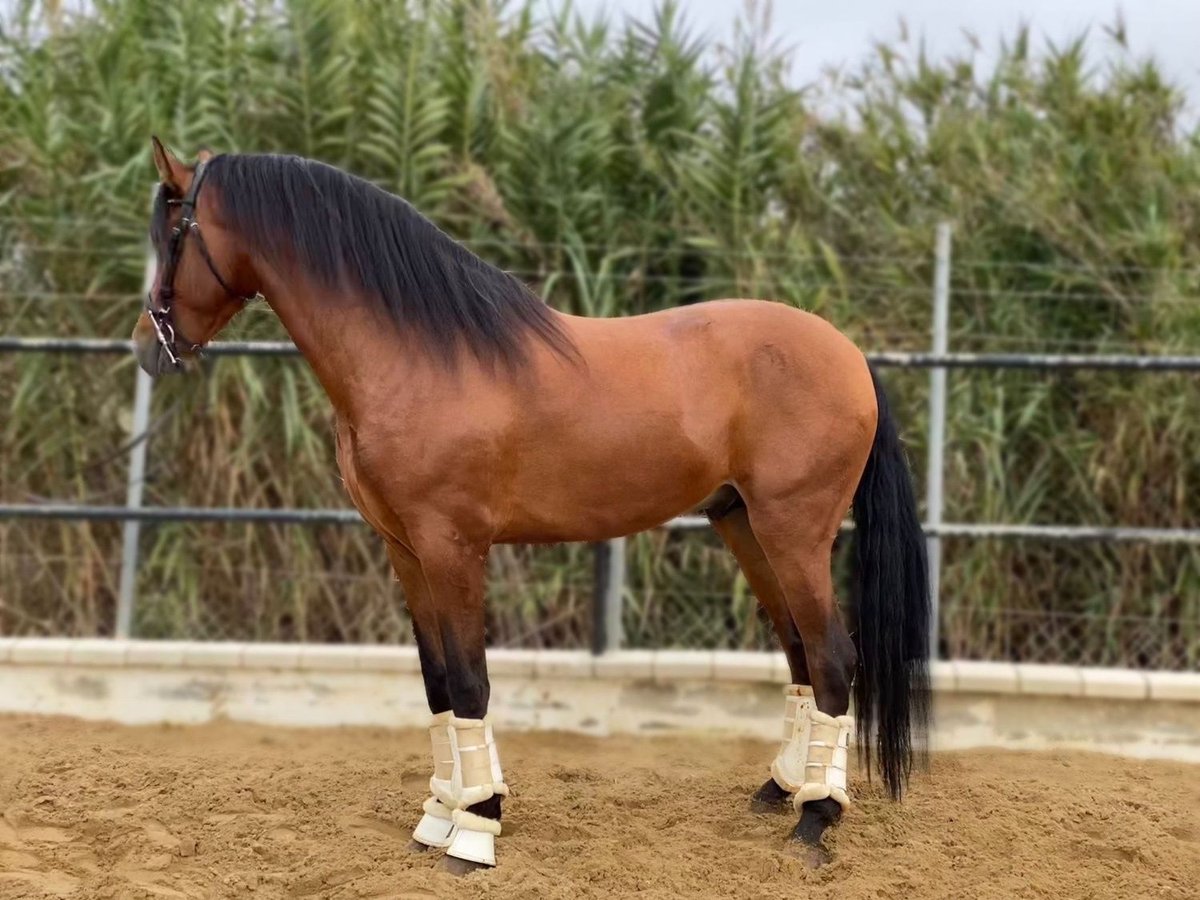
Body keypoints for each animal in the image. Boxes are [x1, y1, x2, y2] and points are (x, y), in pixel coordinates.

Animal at [136, 139, 931, 873]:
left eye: (173, 230)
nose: (149, 347)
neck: (420, 354)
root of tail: (851, 357)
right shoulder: (405, 548)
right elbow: (436, 682)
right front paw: (439, 814)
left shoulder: (452, 546)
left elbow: (469, 680)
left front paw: (476, 828)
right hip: (744, 526)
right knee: (799, 651)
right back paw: (782, 790)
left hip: (794, 532)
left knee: (832, 656)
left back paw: (817, 818)